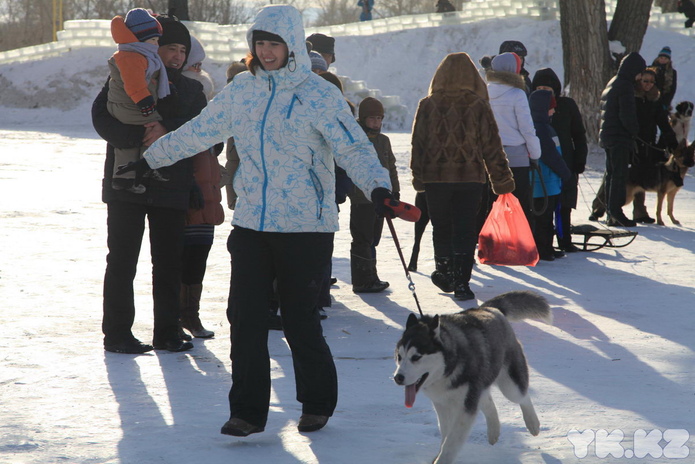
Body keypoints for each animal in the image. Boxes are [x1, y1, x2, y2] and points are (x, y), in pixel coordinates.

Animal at [394, 292, 552, 462]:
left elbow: (451, 442)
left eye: (416, 357)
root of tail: (489, 308)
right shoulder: (442, 404)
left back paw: (532, 423)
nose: (398, 378)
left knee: (522, 396)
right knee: (488, 402)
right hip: (479, 387)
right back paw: (494, 432)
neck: (447, 371)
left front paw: (442, 459)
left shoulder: (465, 407)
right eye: (399, 357)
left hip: (508, 385)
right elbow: (445, 435)